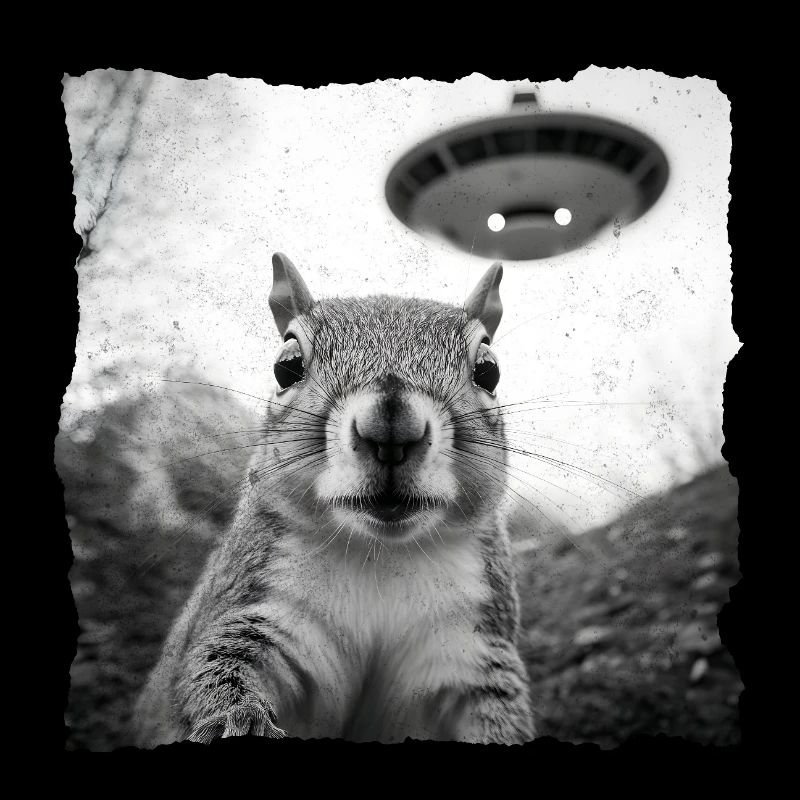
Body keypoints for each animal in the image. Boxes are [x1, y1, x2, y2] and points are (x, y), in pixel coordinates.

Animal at [132, 252, 535, 746]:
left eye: (488, 370)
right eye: (286, 366)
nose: (391, 427)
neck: (382, 555)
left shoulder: (470, 650)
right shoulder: (261, 609)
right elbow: (217, 668)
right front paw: (239, 721)